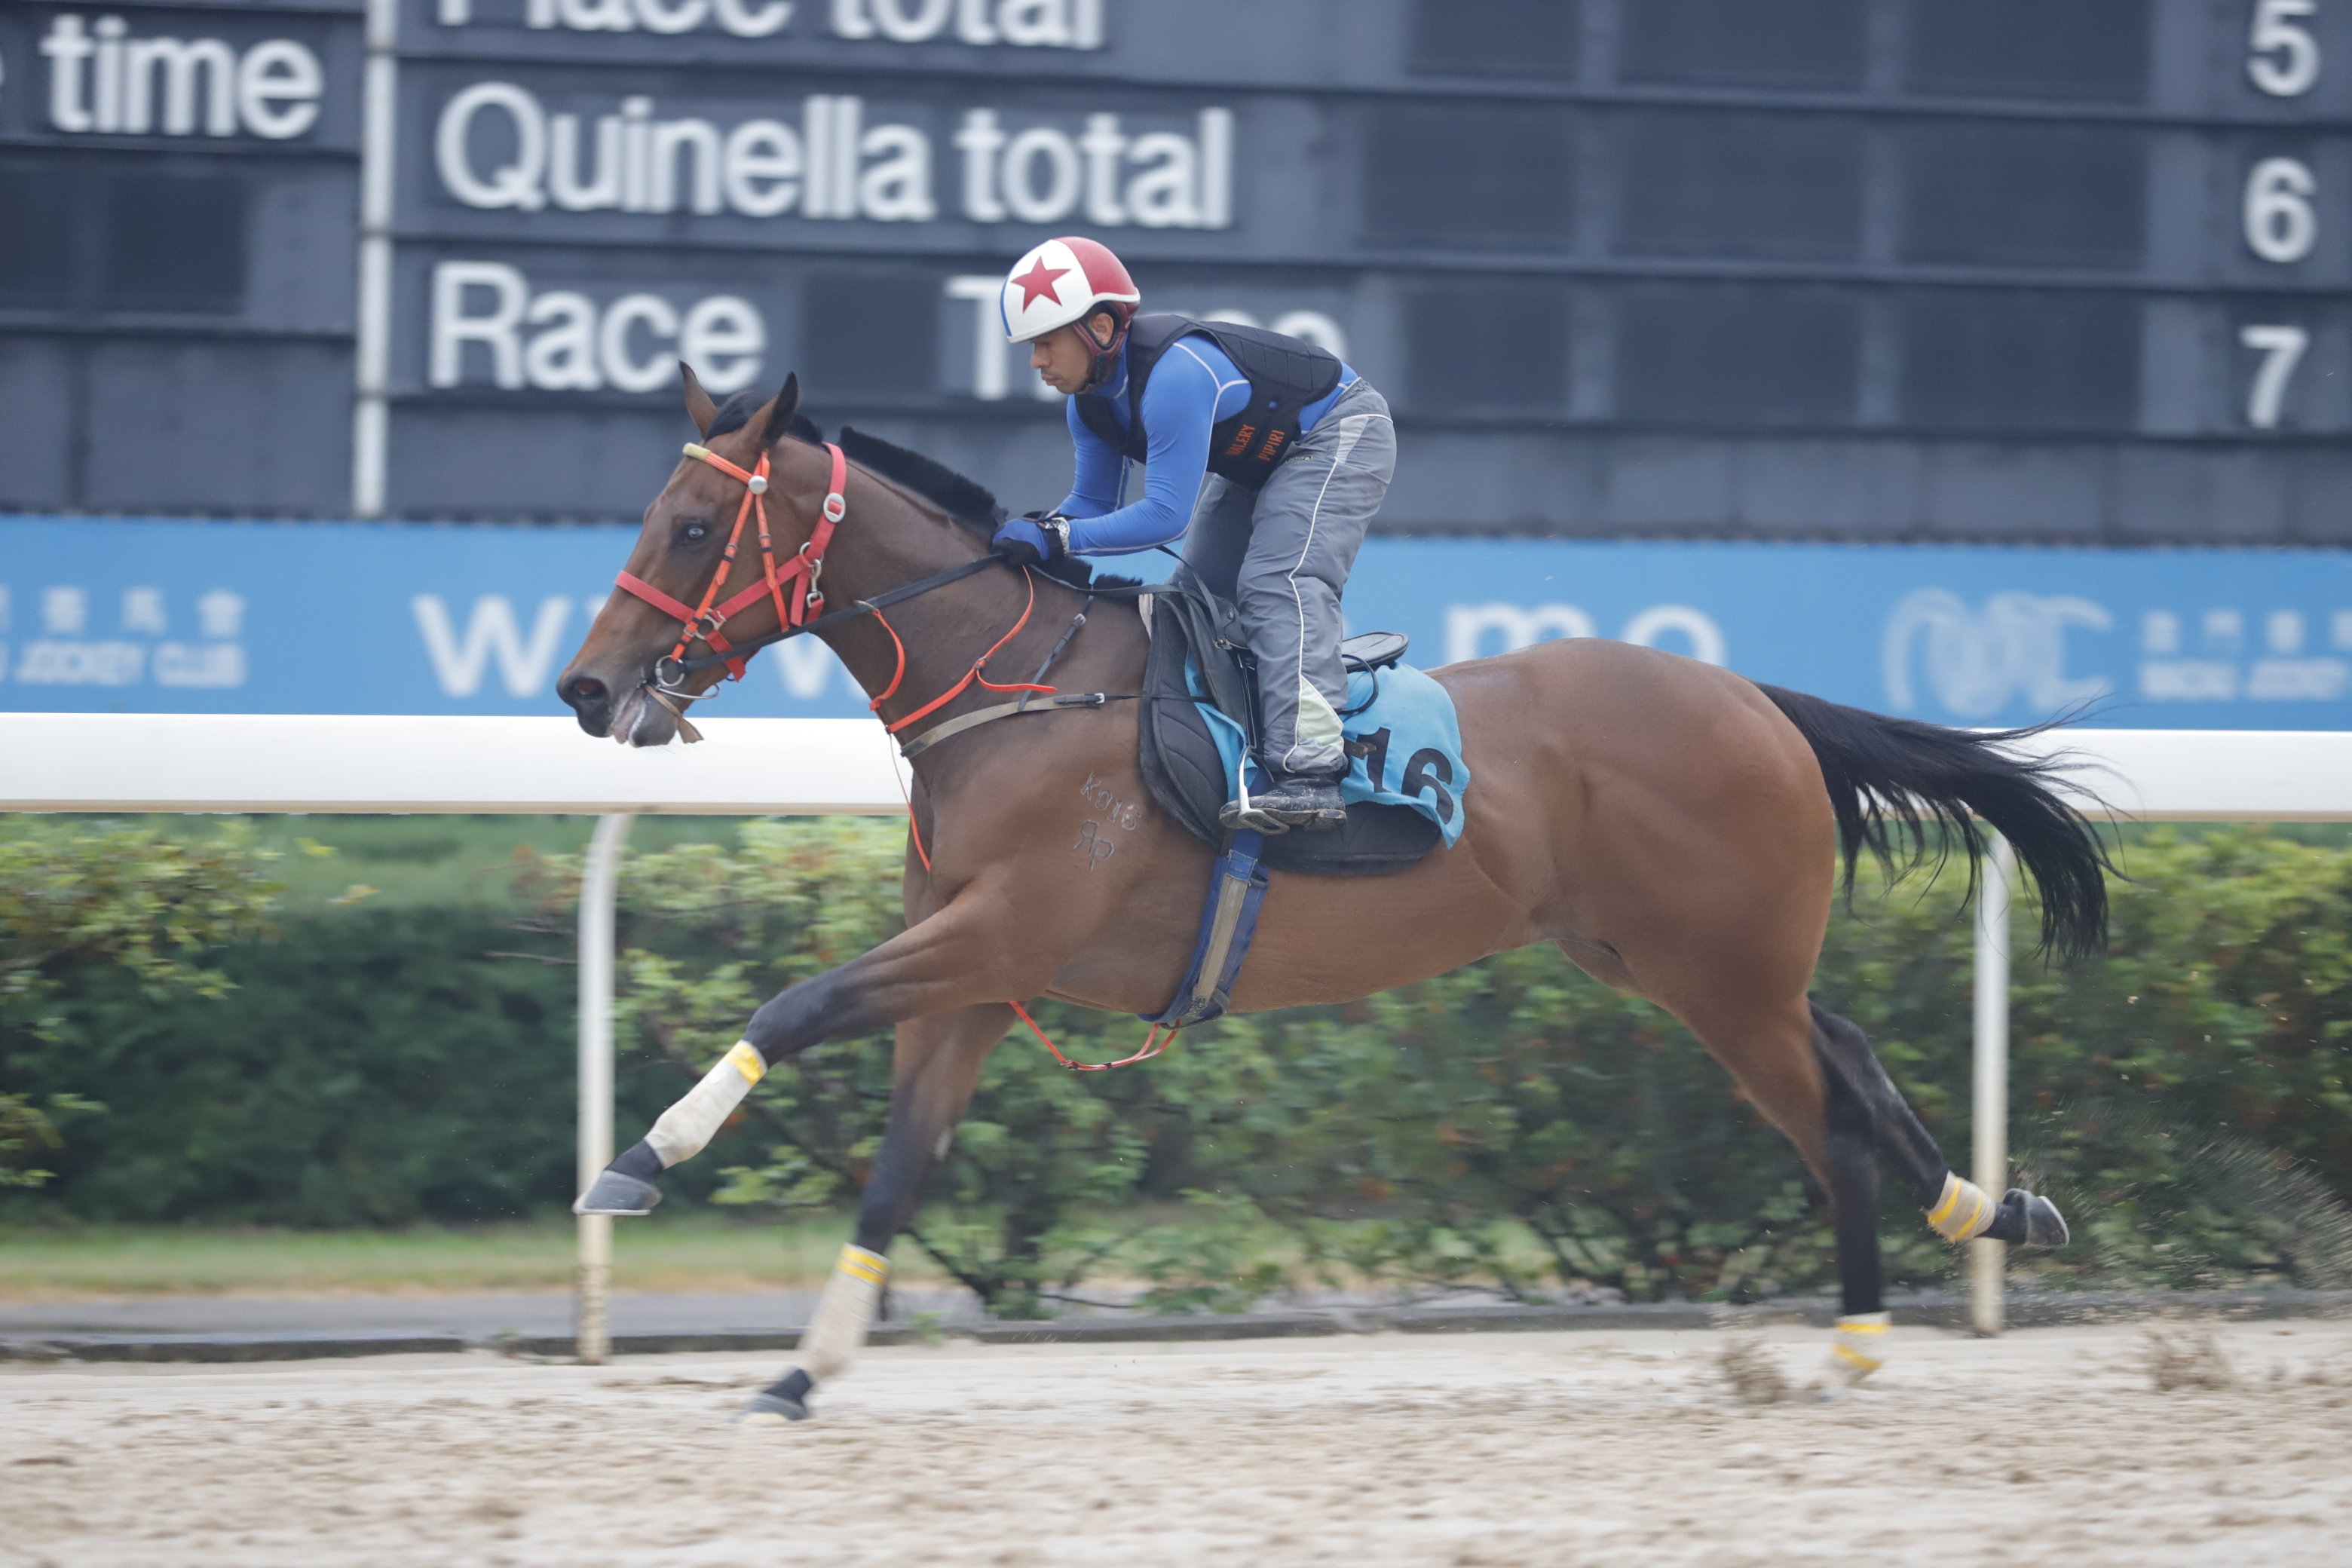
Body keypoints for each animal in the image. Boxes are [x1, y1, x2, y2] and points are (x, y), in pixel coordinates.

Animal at [559, 371, 2107, 1419]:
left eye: (691, 525)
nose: (585, 687)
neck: (1014, 690)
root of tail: (1757, 699)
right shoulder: (979, 977)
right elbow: (896, 1162)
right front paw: (802, 1370)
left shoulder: (999, 930)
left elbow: (795, 1000)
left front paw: (640, 1159)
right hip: (1667, 959)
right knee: (1847, 1056)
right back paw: (1988, 1214)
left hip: (1717, 973)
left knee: (1824, 1111)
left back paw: (1858, 1338)